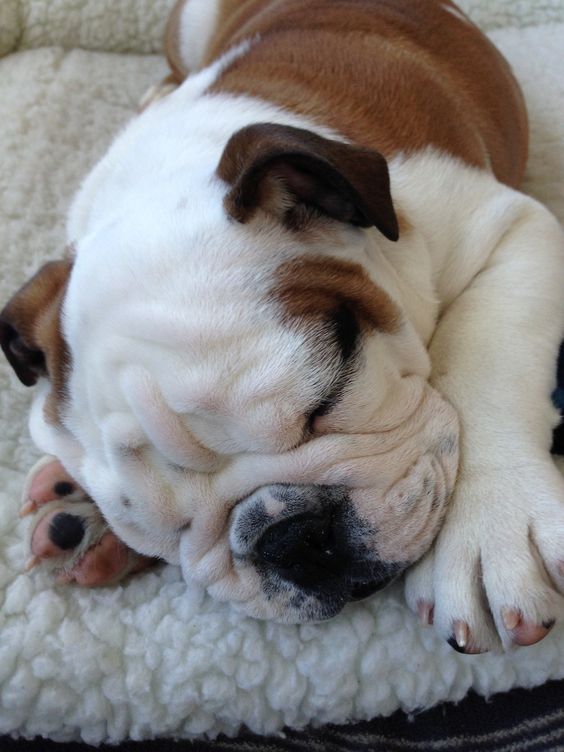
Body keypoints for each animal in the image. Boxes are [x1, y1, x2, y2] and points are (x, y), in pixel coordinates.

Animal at [1, 0, 564, 648]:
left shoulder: (510, 230)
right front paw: (85, 515)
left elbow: (486, 362)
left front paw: (490, 530)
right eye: (170, 531)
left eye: (333, 390)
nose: (291, 537)